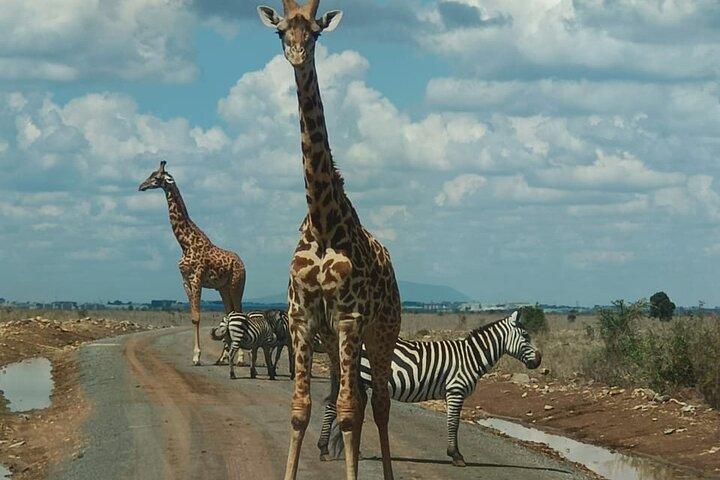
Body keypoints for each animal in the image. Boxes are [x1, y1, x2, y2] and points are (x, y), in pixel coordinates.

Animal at [139, 161, 246, 366]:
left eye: (156, 177)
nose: (141, 186)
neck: (185, 243)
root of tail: (242, 263)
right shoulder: (185, 281)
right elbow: (192, 318)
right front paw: (196, 355)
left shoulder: (197, 278)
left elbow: (197, 317)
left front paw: (197, 356)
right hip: (223, 288)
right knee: (229, 313)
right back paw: (223, 357)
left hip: (237, 285)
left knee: (238, 312)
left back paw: (240, 359)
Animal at [258, 2, 401, 479]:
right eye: (281, 31)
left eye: (316, 33)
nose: (297, 55)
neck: (322, 223)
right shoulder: (302, 319)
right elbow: (300, 408)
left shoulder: (350, 319)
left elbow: (349, 410)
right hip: (338, 341)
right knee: (349, 392)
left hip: (382, 332)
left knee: (377, 402)